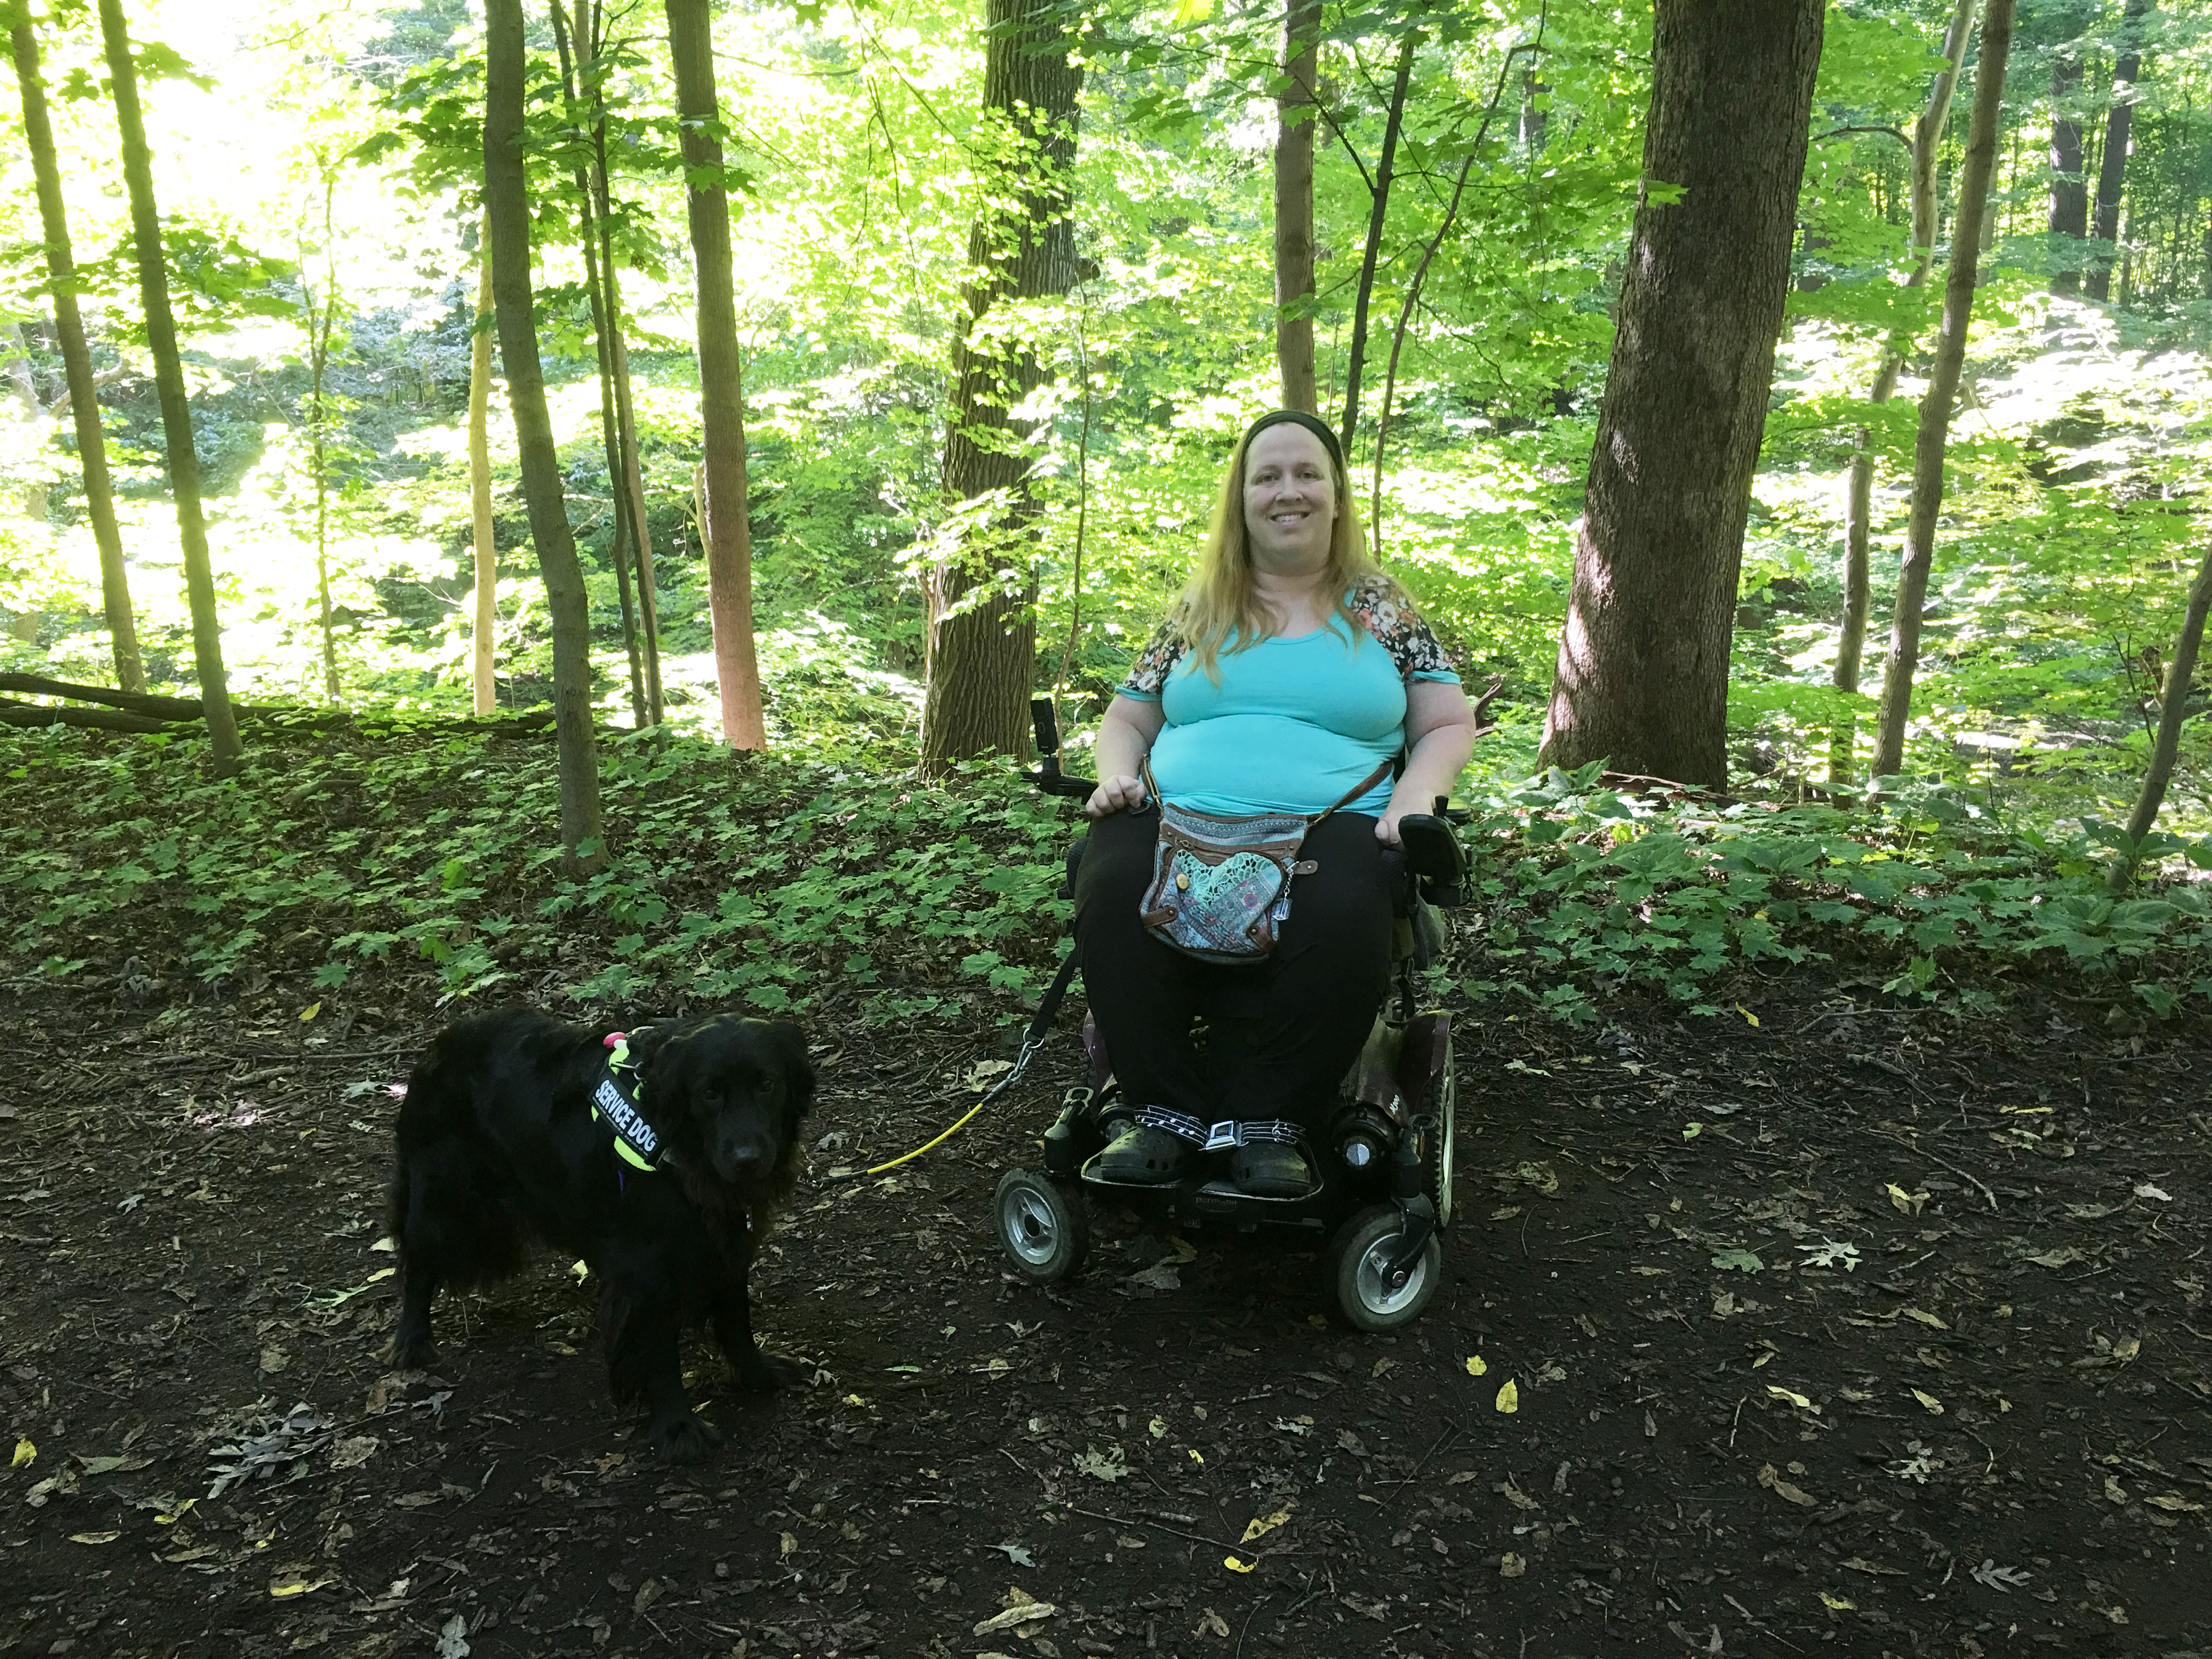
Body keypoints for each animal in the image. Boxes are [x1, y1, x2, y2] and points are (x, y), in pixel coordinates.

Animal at [385, 1008, 818, 1460]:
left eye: (767, 1084)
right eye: (709, 1093)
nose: (747, 1160)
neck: (678, 1148)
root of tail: (441, 1043)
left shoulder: (724, 1240)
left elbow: (736, 1315)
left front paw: (756, 1371)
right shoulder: (645, 1268)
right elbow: (659, 1353)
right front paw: (677, 1426)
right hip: (439, 1201)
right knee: (418, 1266)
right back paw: (411, 1342)